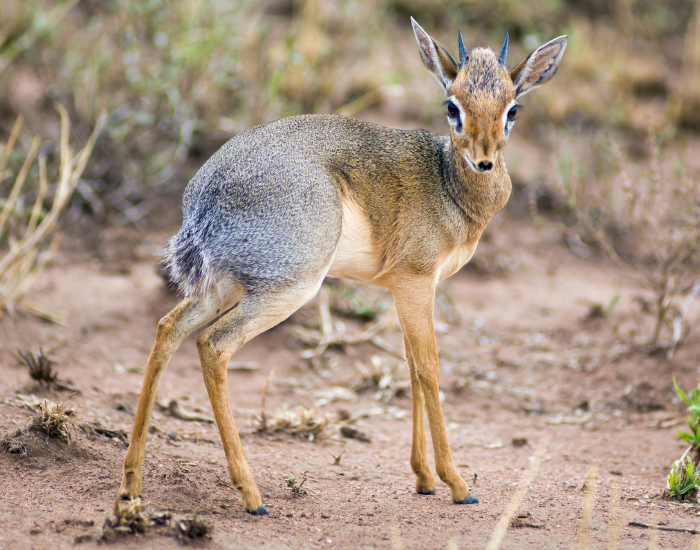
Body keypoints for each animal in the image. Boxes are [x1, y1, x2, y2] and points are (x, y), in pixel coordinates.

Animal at [116, 18, 566, 515]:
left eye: (512, 109)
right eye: (453, 106)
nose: (484, 161)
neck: (446, 182)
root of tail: (201, 199)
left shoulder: (404, 290)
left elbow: (410, 368)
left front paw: (424, 478)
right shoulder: (416, 282)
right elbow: (429, 369)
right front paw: (457, 484)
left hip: (223, 289)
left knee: (168, 329)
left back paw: (131, 485)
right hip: (289, 289)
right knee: (213, 345)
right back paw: (251, 495)